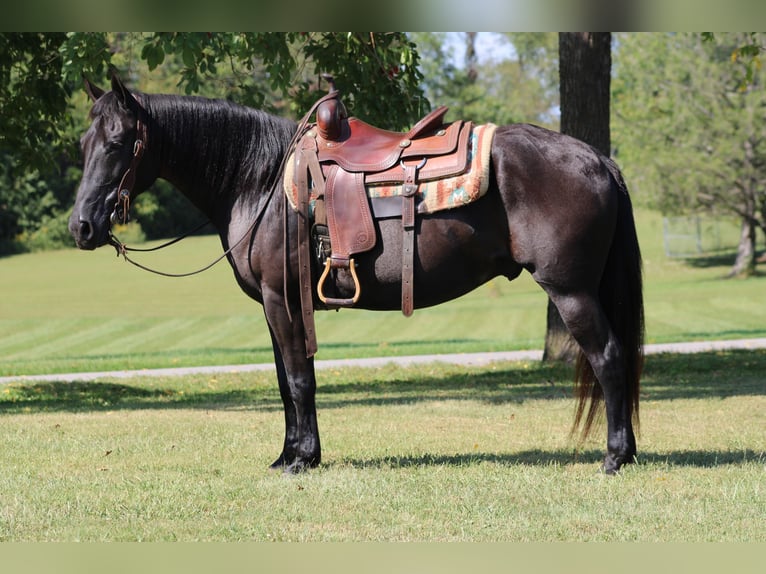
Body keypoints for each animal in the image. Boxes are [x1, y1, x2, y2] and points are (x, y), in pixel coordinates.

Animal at [70, 76, 640, 474]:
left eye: (118, 142)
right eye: (83, 143)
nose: (82, 226)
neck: (262, 181)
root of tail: (597, 158)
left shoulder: (281, 300)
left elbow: (299, 380)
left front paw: (301, 460)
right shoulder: (280, 306)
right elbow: (287, 382)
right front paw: (292, 455)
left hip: (571, 292)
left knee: (610, 359)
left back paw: (614, 457)